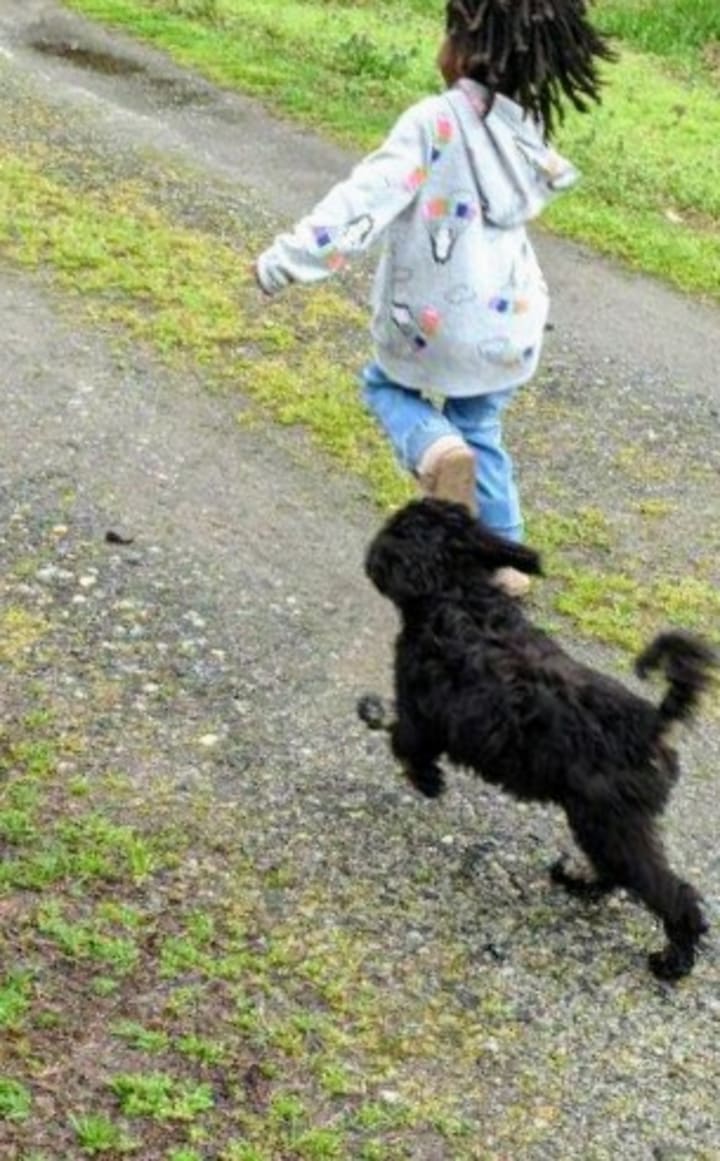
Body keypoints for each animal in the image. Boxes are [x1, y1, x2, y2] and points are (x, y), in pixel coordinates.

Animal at [358, 498, 717, 980]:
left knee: (671, 893)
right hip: (609, 824)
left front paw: (426, 779)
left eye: (395, 529)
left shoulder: (421, 712)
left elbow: (405, 742)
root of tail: (652, 723)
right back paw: (578, 884)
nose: (371, 555)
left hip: (608, 821)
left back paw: (672, 961)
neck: (456, 592)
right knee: (620, 874)